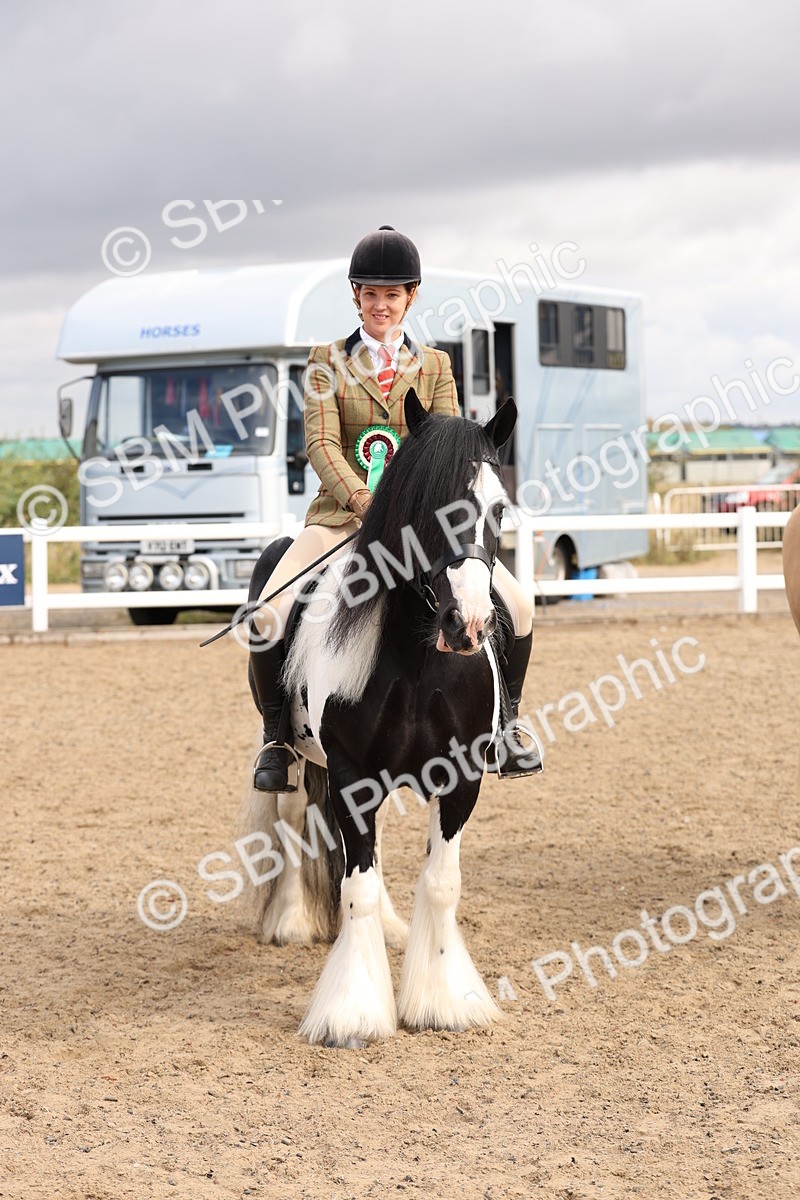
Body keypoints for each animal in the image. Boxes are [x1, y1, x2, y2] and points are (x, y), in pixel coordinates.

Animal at [239, 388, 526, 1047]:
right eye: (424, 504)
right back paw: (292, 919)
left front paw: (445, 1001)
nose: (468, 626)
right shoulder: (352, 774)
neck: (418, 660)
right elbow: (357, 888)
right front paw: (352, 1012)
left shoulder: (462, 777)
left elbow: (441, 882)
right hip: (299, 754)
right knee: (291, 811)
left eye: (498, 507)